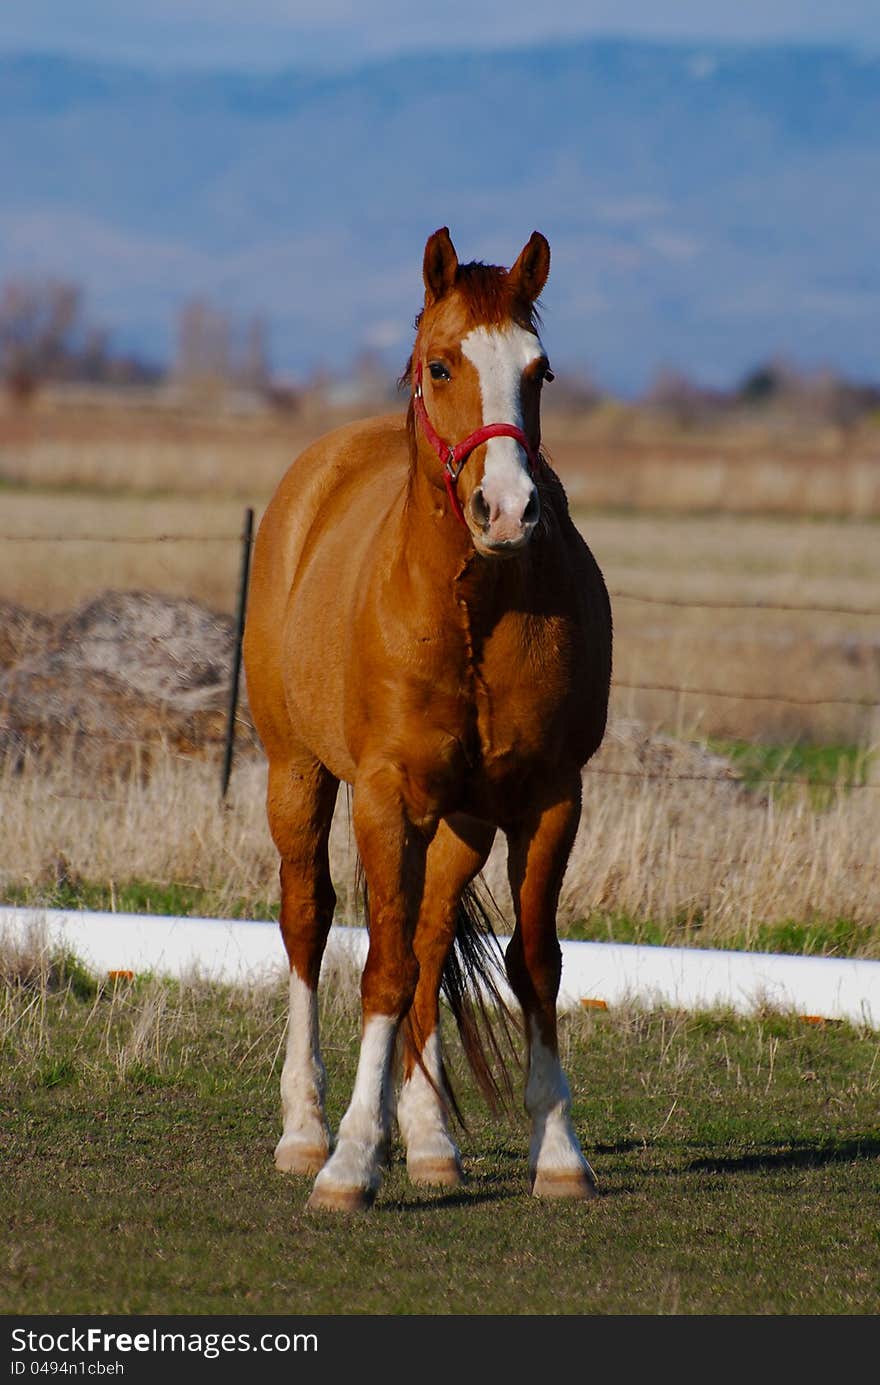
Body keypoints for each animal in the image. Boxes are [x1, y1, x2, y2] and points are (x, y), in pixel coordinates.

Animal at [242, 221, 612, 1207]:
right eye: (442, 366)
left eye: (540, 370)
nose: (509, 509)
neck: (473, 607)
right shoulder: (383, 798)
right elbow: (382, 965)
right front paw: (349, 1161)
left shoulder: (549, 800)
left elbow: (535, 960)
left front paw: (557, 1150)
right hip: (297, 774)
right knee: (310, 922)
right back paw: (306, 1128)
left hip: (464, 822)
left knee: (433, 930)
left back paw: (430, 1139)